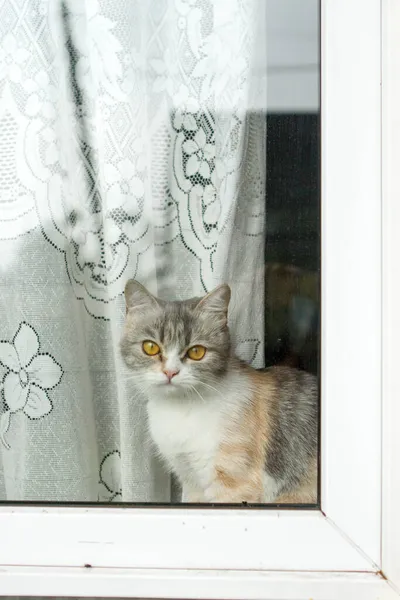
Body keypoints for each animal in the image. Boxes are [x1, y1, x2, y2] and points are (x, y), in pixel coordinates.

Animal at [120, 278, 318, 504]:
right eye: (150, 347)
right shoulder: (191, 481)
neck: (180, 409)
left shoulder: (234, 485)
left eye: (196, 352)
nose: (170, 372)